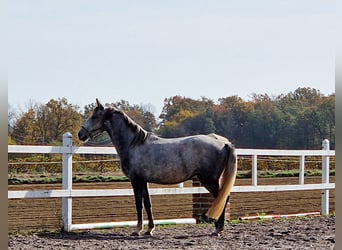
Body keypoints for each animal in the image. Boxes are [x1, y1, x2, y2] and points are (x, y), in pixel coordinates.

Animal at [78, 98, 238, 236]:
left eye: (95, 116)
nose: (80, 134)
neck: (134, 144)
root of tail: (223, 143)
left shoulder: (136, 180)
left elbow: (138, 204)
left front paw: (137, 230)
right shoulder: (144, 181)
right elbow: (148, 204)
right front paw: (150, 229)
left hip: (209, 180)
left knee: (222, 198)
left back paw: (217, 229)